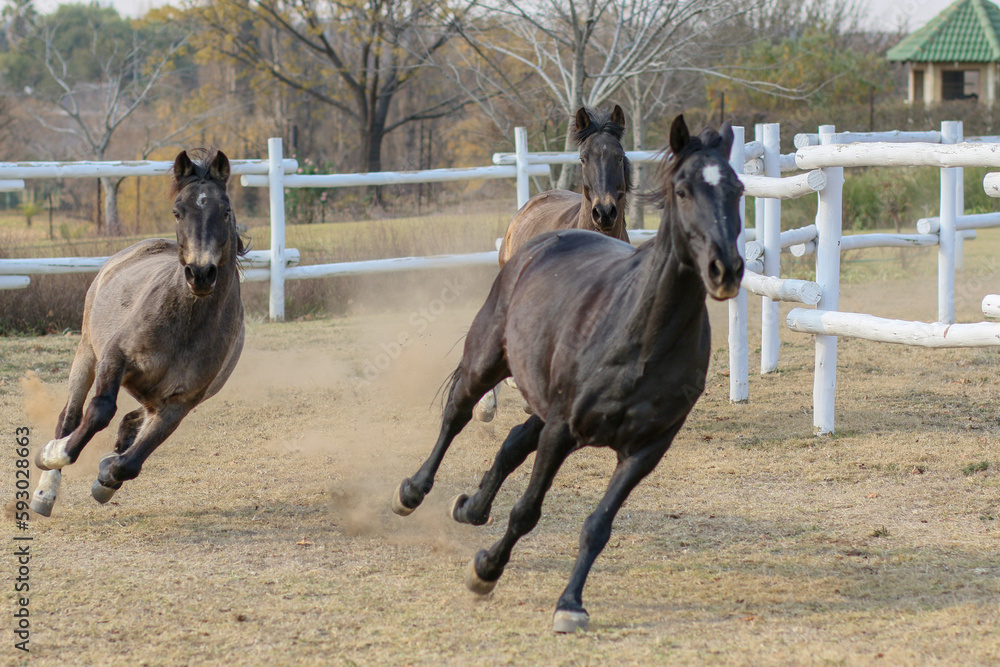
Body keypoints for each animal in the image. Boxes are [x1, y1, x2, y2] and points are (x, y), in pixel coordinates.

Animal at [30, 148, 246, 517]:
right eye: (178, 211)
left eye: (226, 210)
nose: (201, 273)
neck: (184, 328)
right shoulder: (115, 358)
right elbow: (99, 411)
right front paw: (52, 453)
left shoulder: (181, 402)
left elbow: (129, 464)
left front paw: (106, 476)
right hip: (87, 353)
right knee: (70, 416)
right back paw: (46, 489)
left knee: (132, 421)